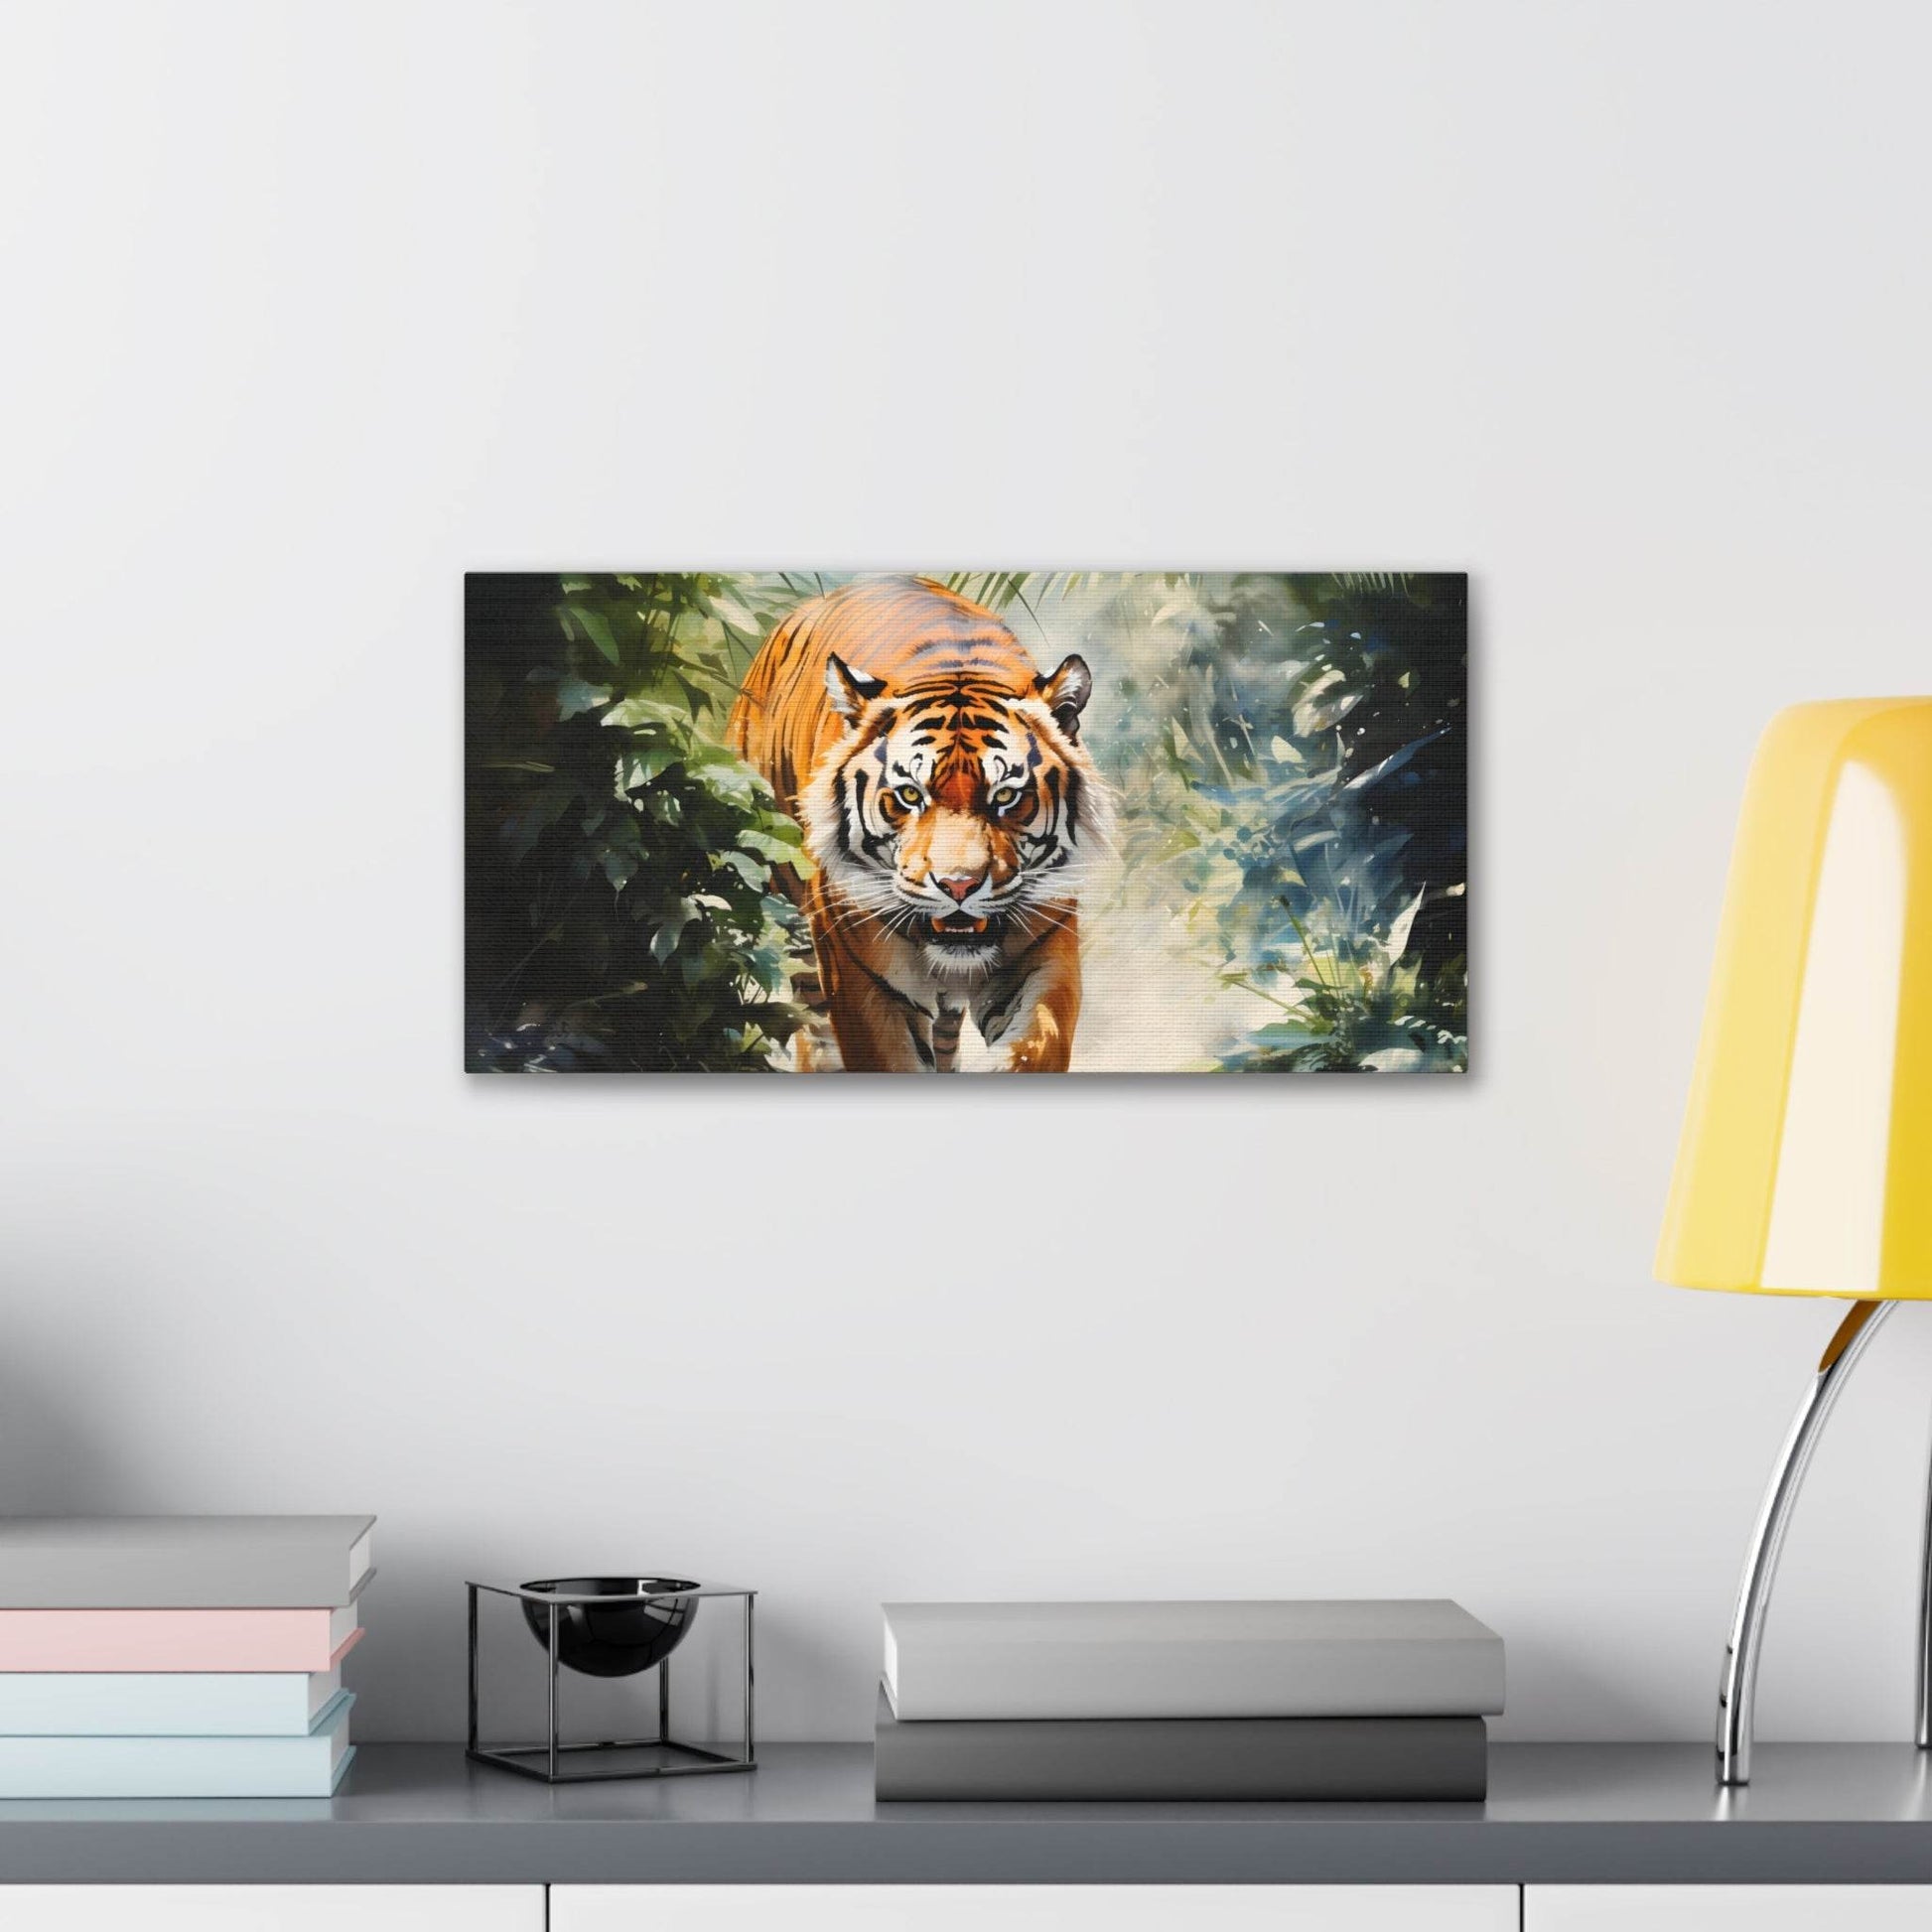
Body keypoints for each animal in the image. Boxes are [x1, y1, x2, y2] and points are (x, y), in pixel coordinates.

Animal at [727, 576, 1109, 1072]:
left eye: (1006, 796)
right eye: (910, 795)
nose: (959, 886)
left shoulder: (1044, 953)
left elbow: (1034, 1046)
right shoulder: (862, 977)